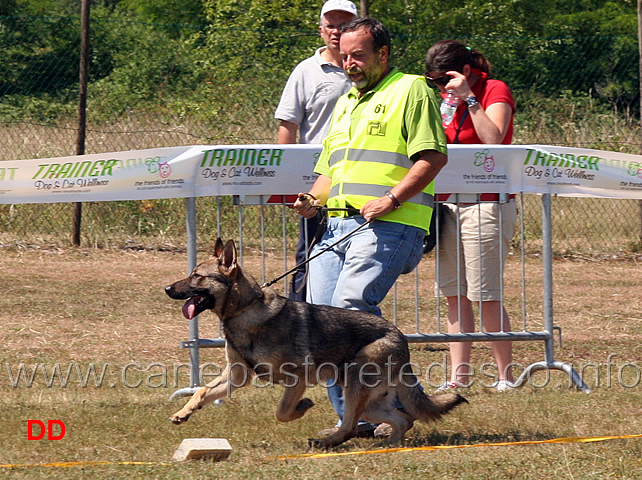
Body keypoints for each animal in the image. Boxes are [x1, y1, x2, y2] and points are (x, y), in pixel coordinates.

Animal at [165, 238, 464, 448]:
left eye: (197, 276)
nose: (167, 288)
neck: (245, 310)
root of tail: (400, 338)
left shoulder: (296, 379)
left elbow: (282, 412)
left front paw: (303, 407)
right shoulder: (237, 376)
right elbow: (203, 391)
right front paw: (184, 412)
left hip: (356, 385)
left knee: (351, 425)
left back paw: (326, 442)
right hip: (367, 400)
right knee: (401, 419)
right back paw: (389, 445)